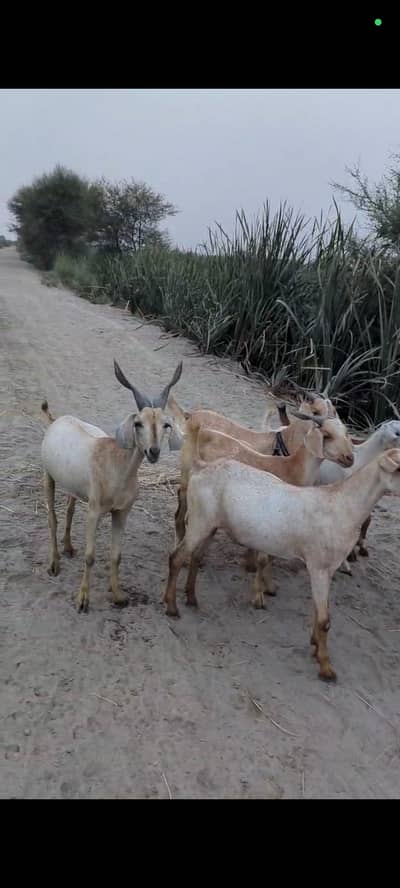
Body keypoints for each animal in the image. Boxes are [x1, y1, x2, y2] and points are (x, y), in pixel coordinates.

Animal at [41, 360, 183, 612]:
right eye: (138, 423)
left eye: (165, 424)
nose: (153, 451)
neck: (117, 468)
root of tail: (56, 420)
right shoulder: (95, 511)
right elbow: (90, 556)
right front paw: (83, 600)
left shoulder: (121, 512)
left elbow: (117, 555)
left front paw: (118, 595)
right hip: (49, 476)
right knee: (52, 518)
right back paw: (54, 564)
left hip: (73, 488)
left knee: (69, 509)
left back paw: (68, 548)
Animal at [163, 448, 400, 681]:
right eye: (399, 468)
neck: (342, 506)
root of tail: (201, 468)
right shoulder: (319, 567)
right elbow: (324, 620)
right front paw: (326, 667)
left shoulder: (326, 569)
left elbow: (317, 612)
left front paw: (315, 647)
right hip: (199, 521)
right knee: (176, 557)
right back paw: (172, 607)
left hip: (210, 525)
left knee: (195, 557)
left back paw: (191, 598)